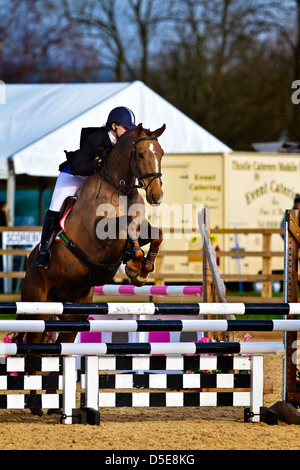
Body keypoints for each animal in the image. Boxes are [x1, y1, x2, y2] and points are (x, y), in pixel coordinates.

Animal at [19, 123, 166, 346]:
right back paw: (43, 257)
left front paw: (143, 270)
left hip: (75, 311)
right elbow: (124, 227)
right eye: (140, 154)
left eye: (161, 153)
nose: (156, 196)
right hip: (37, 307)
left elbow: (156, 234)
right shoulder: (98, 238)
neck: (119, 188)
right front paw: (134, 265)